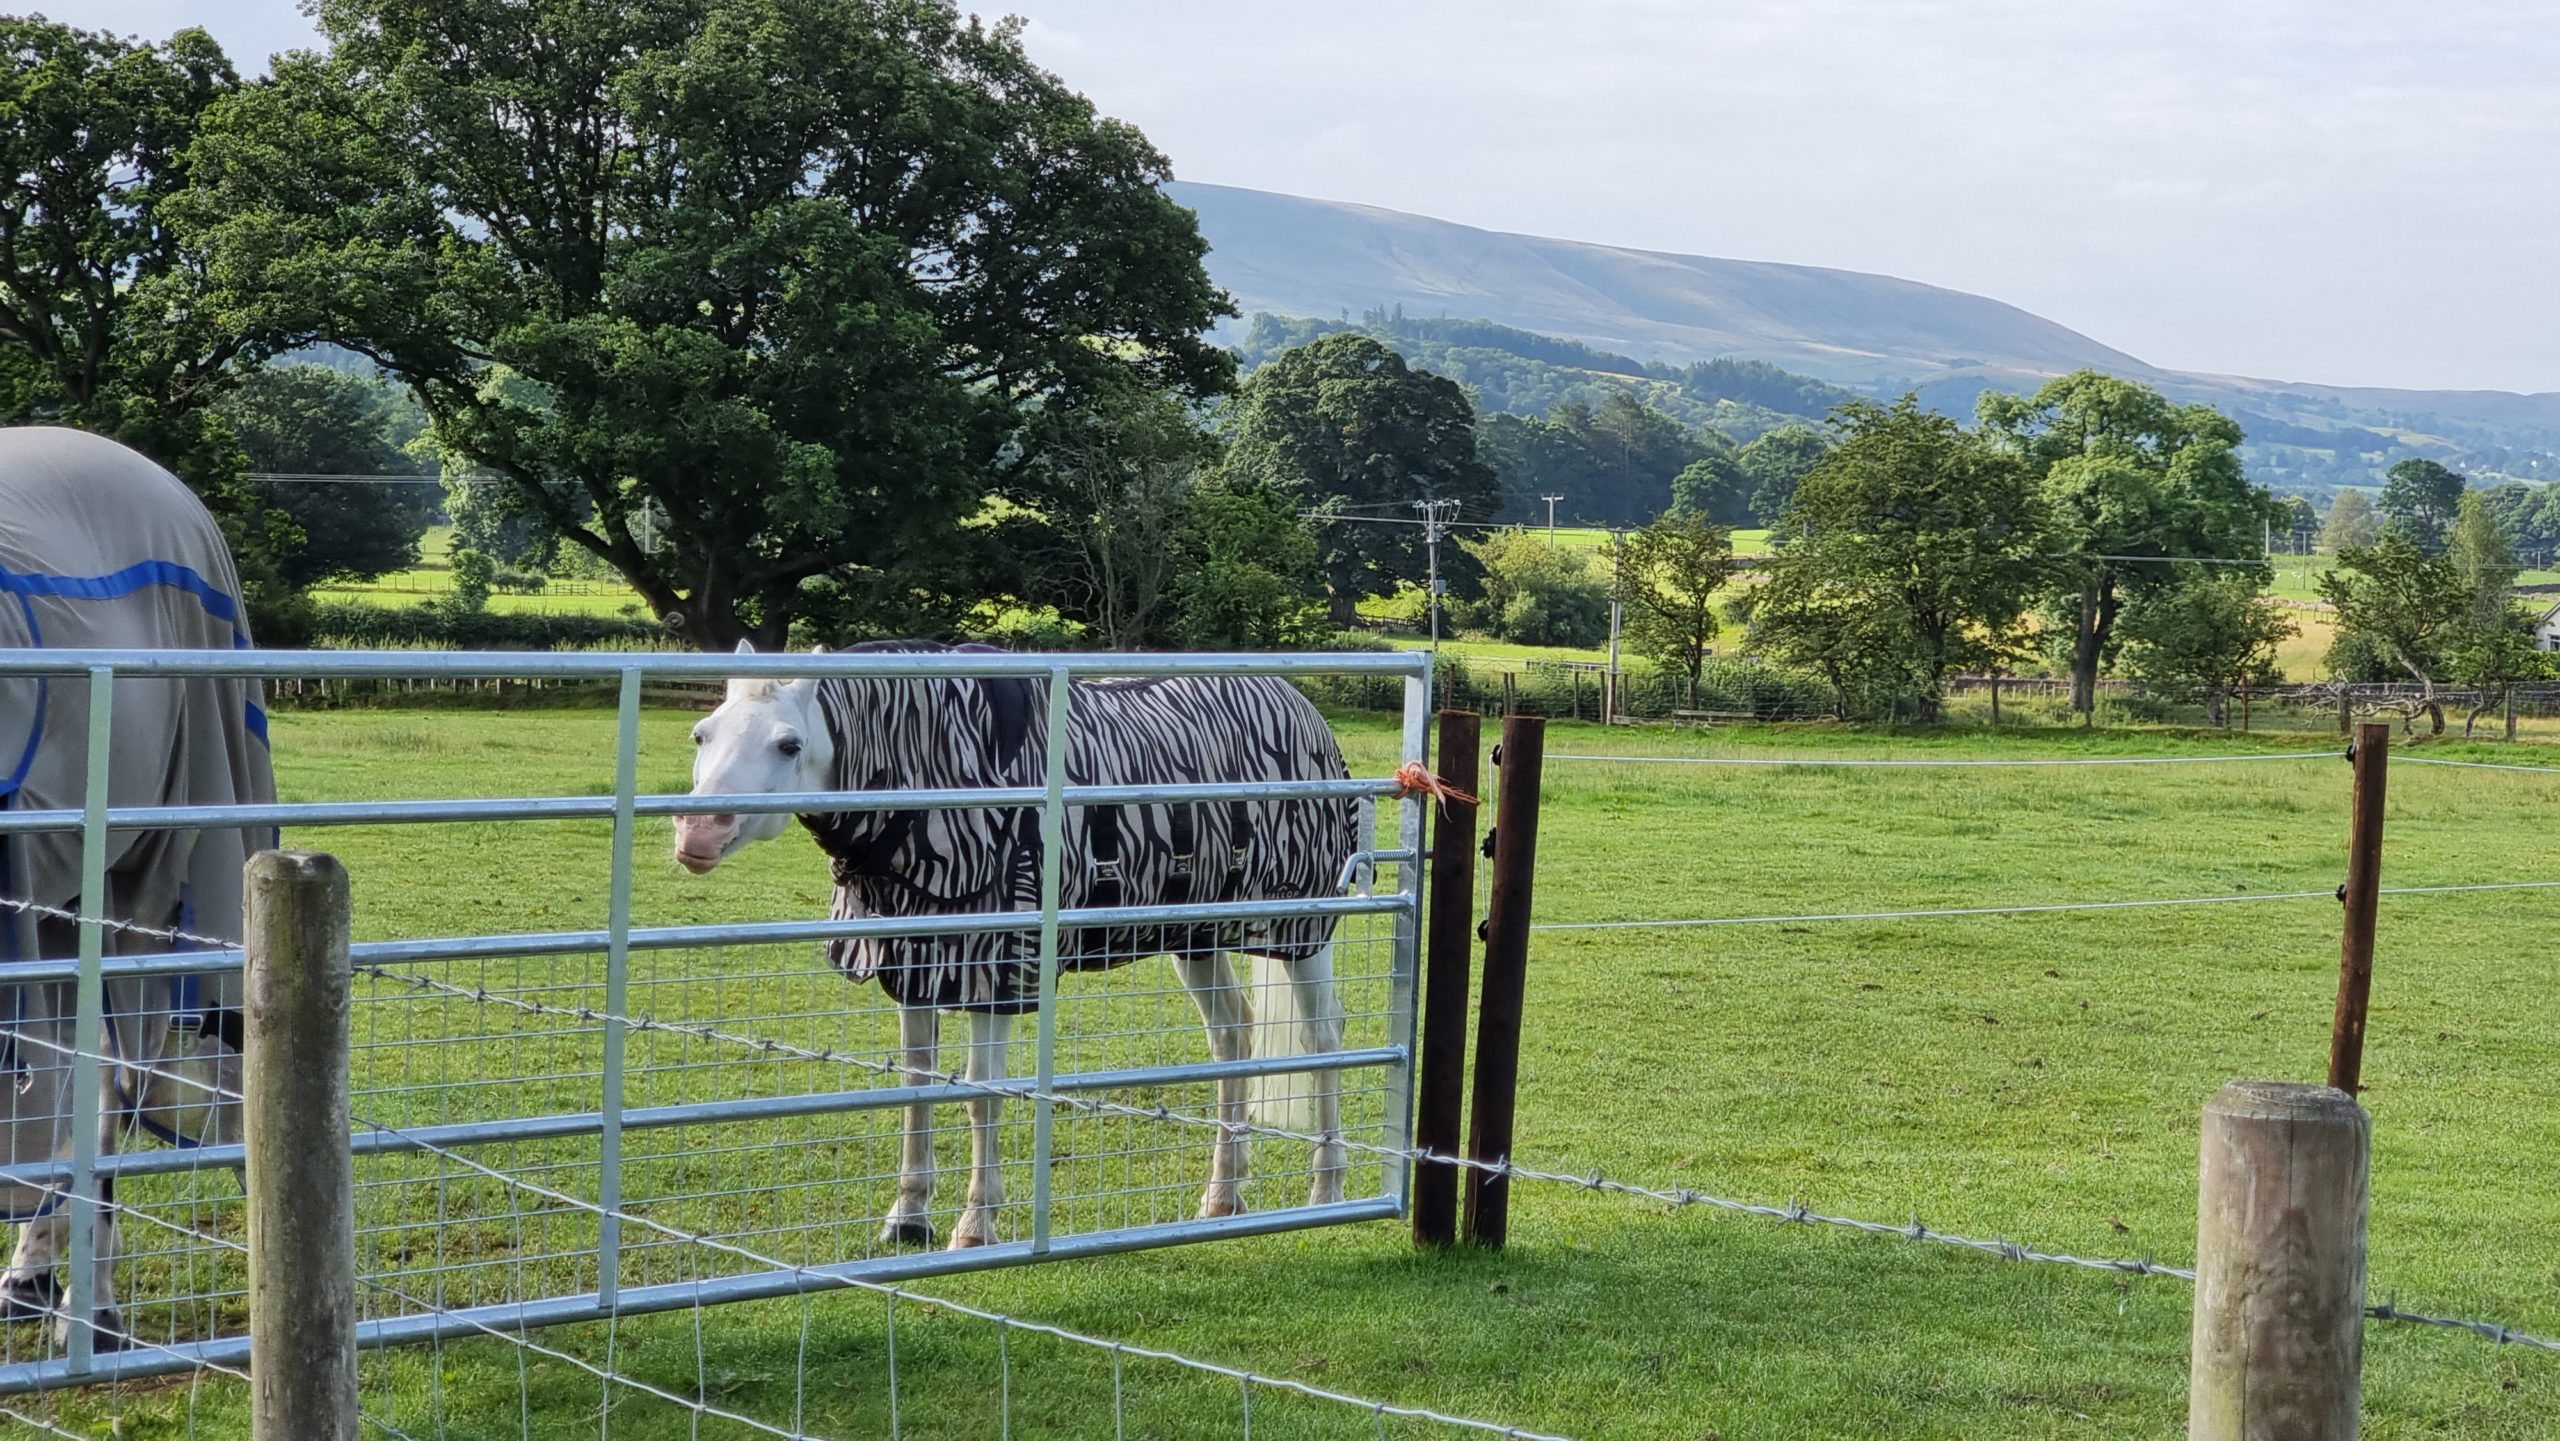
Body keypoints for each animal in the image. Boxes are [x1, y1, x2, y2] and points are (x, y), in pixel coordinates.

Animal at [672, 641, 1363, 1250]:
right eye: (702, 735)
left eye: (788, 744)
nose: (697, 833)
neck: (939, 789)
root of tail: (1303, 709)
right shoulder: (916, 964)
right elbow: (916, 1084)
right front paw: (907, 1218)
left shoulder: (995, 970)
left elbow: (982, 1093)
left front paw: (975, 1226)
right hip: (1195, 936)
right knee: (1232, 1035)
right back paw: (1224, 1196)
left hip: (1301, 931)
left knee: (1321, 1037)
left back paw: (1327, 1193)